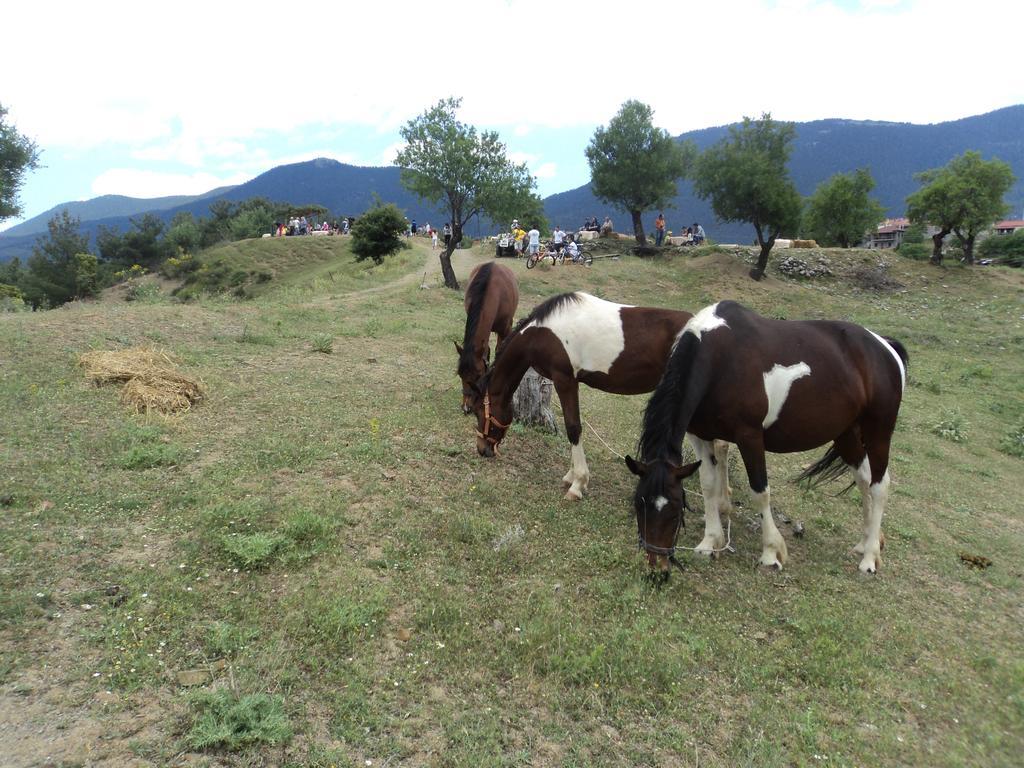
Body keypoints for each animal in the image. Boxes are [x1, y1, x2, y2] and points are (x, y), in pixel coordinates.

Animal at [456, 260, 520, 415]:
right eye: (460, 375)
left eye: (478, 375)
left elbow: (500, 352)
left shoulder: (505, 329)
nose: (466, 407)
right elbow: (487, 352)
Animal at [468, 290, 733, 501]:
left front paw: (577, 484)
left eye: (480, 411)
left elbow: (573, 428)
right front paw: (571, 476)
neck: (542, 333)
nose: (482, 449)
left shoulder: (565, 380)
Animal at [622, 301, 905, 577]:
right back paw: (865, 543)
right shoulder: (700, 435)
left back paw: (870, 558)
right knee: (864, 479)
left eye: (674, 510)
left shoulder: (750, 437)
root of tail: (885, 346)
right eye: (639, 504)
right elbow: (708, 485)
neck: (719, 359)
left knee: (879, 486)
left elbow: (760, 492)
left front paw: (770, 553)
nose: (657, 569)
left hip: (878, 433)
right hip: (846, 435)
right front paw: (710, 542)